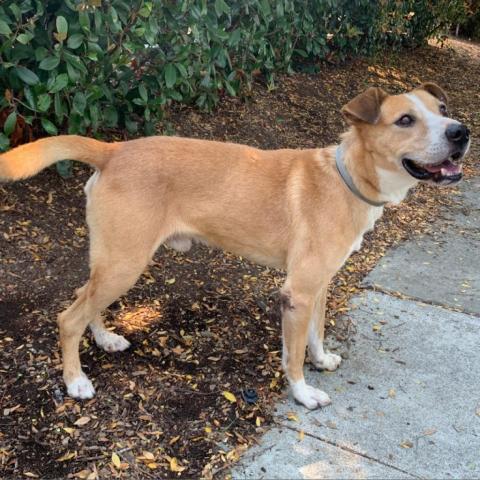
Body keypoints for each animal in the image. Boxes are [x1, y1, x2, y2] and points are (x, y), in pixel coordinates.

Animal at [0, 82, 470, 408]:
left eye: (442, 111)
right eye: (405, 120)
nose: (461, 132)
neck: (347, 178)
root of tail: (113, 150)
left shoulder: (318, 286)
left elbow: (315, 334)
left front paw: (321, 361)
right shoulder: (298, 292)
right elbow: (293, 355)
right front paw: (303, 393)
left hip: (115, 260)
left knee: (86, 299)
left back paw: (105, 339)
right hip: (124, 263)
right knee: (68, 318)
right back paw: (75, 380)